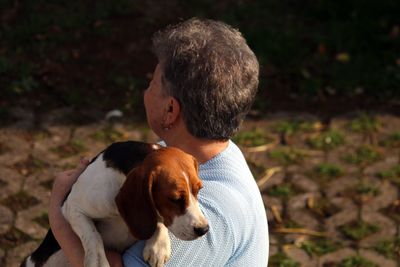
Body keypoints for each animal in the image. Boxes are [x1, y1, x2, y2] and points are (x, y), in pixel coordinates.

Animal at [21, 141, 209, 266]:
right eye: (174, 199)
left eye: (199, 190)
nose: (204, 229)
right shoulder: (72, 207)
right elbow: (93, 235)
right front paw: (97, 262)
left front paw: (158, 246)